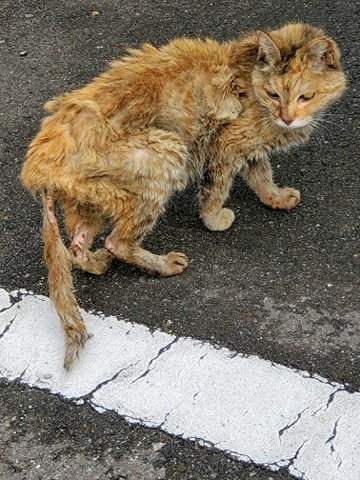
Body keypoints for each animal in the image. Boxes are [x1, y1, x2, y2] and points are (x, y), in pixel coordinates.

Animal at [19, 23, 346, 368]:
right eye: (274, 94)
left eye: (305, 96)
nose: (286, 117)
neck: (249, 76)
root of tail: (37, 165)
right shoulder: (227, 144)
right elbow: (217, 187)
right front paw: (215, 219)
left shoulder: (249, 148)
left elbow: (261, 174)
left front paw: (276, 198)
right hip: (167, 151)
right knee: (117, 241)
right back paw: (162, 264)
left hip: (98, 198)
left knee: (77, 246)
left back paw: (96, 262)